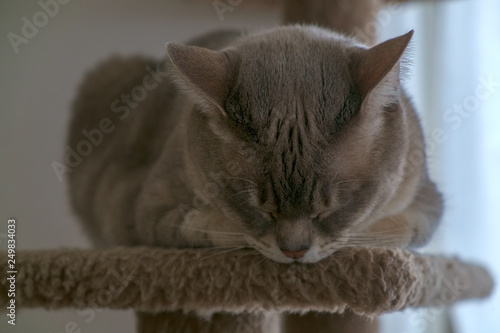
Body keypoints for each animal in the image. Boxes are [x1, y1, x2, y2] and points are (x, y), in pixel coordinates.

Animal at [67, 24, 442, 264]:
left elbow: (391, 229)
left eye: (327, 210)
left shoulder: (425, 203)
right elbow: (213, 227)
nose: (294, 252)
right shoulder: (149, 212)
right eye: (261, 209)